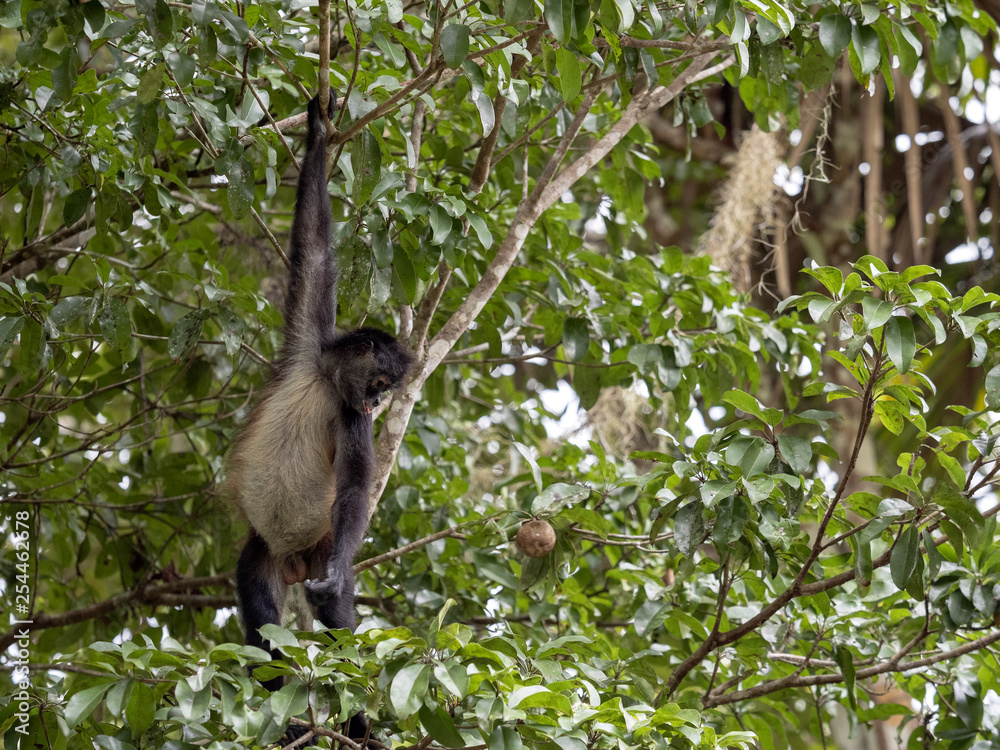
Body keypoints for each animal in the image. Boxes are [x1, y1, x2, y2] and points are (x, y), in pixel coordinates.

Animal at [226, 92, 412, 745]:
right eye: (380, 384)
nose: (379, 405)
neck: (326, 386)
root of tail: (297, 557)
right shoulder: (308, 342)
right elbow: (312, 244)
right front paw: (317, 127)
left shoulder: (349, 420)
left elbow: (355, 487)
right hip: (263, 554)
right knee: (260, 611)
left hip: (323, 542)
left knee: (334, 615)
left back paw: (356, 723)